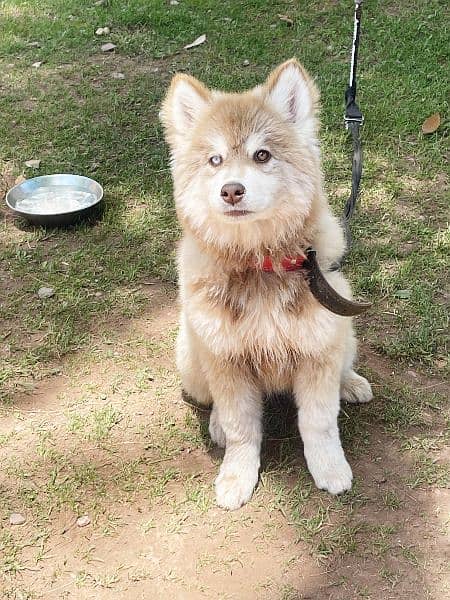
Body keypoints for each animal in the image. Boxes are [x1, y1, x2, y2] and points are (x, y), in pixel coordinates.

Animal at [160, 59, 370, 510]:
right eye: (215, 160)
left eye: (262, 155)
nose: (231, 191)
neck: (260, 262)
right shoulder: (226, 359)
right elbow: (242, 427)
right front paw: (236, 476)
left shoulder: (318, 350)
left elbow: (319, 422)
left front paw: (330, 468)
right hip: (192, 360)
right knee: (214, 404)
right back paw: (216, 425)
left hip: (343, 328)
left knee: (344, 365)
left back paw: (351, 383)